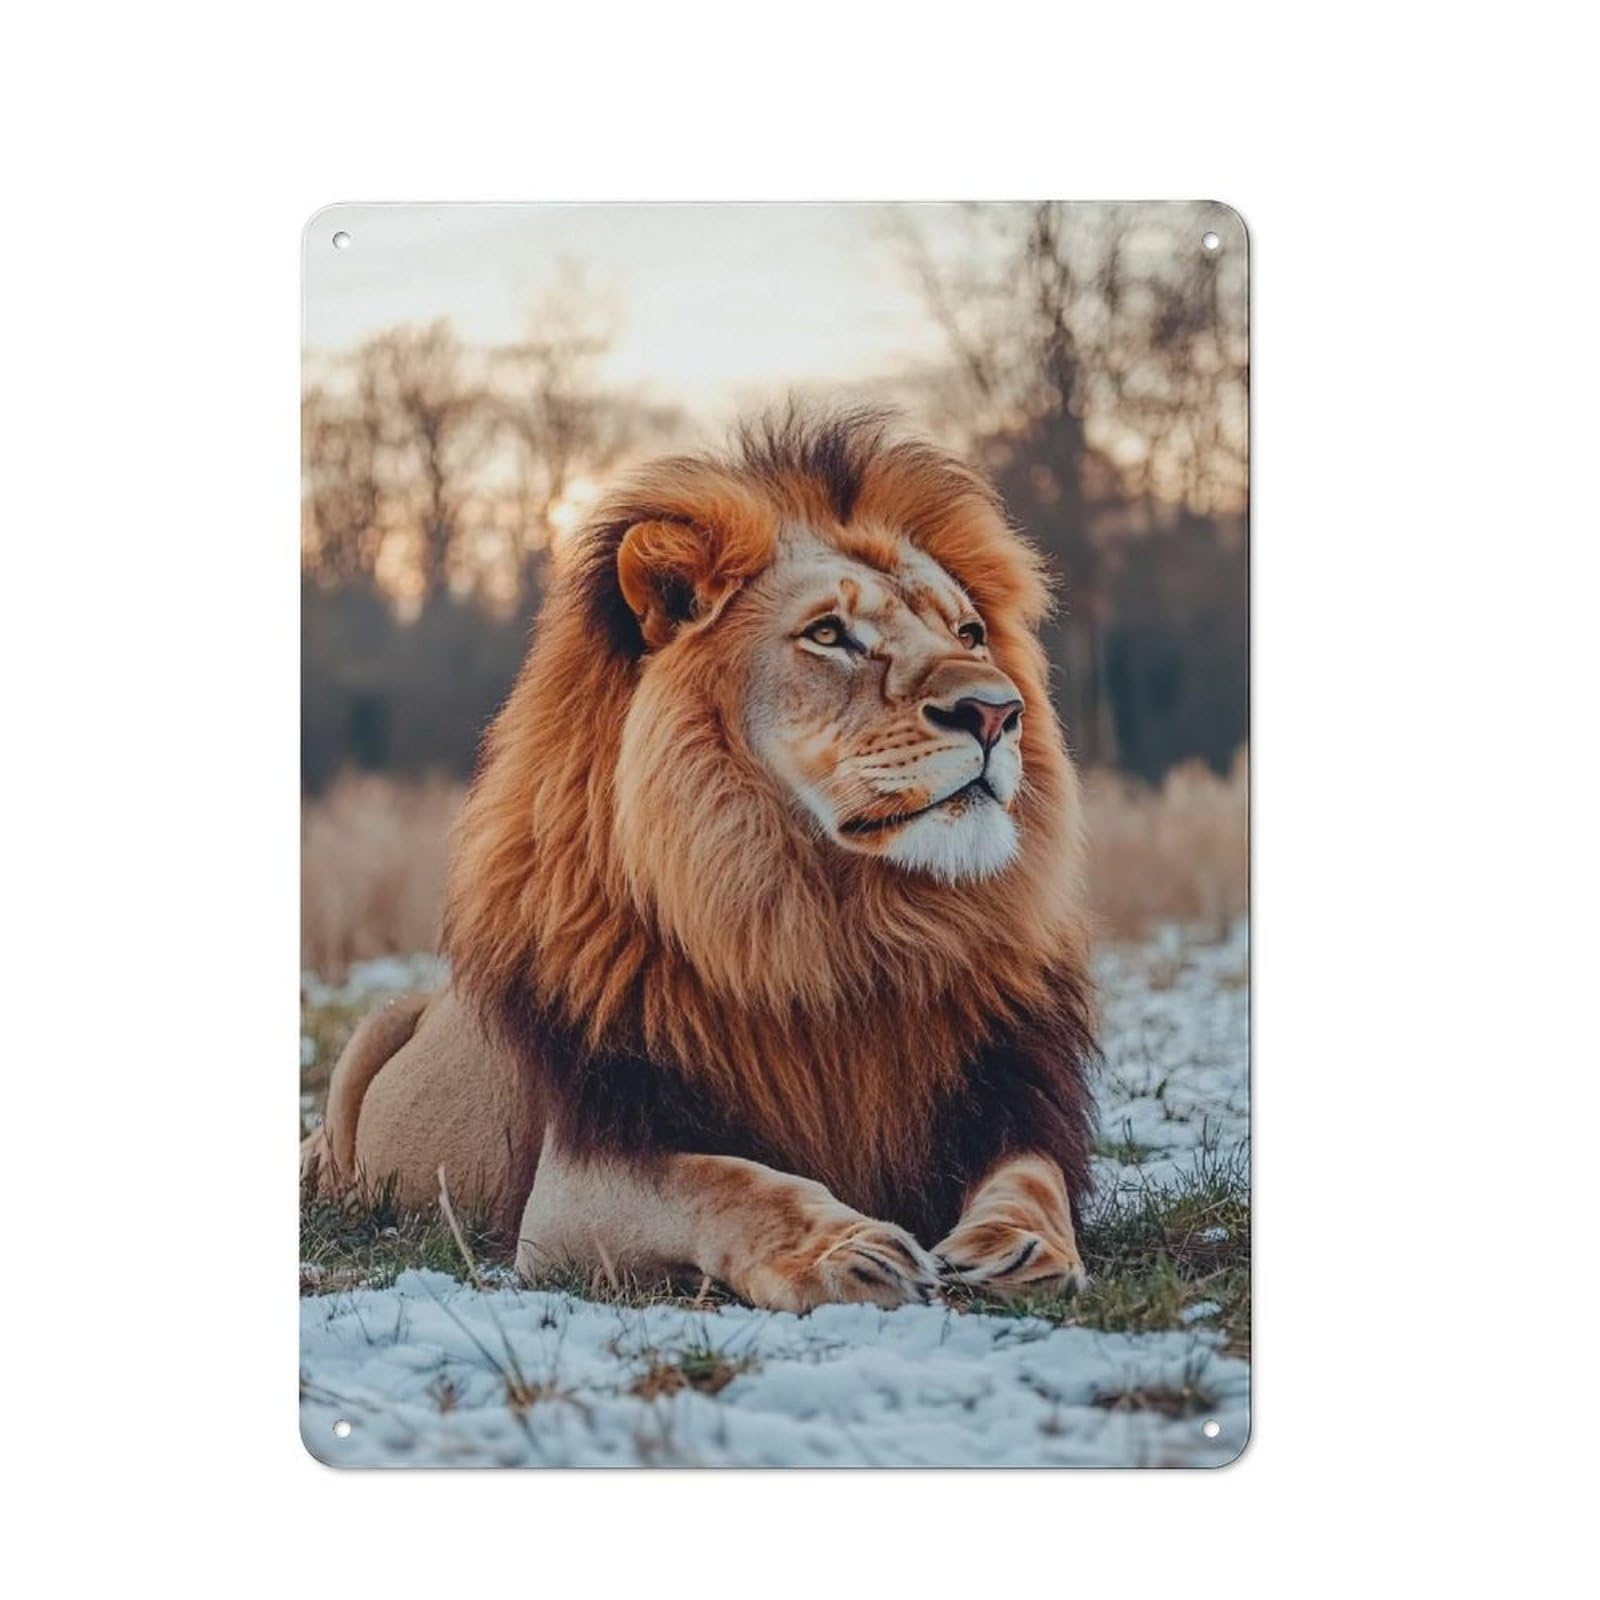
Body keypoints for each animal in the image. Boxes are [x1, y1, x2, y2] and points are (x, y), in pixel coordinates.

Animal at [304, 407, 1098, 1311]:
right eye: (831, 634)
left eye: (969, 632)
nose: (997, 712)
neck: (849, 923)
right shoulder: (582, 1174)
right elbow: (731, 1184)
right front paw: (845, 1247)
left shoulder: (1016, 1097)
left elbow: (1029, 1176)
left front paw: (1019, 1247)